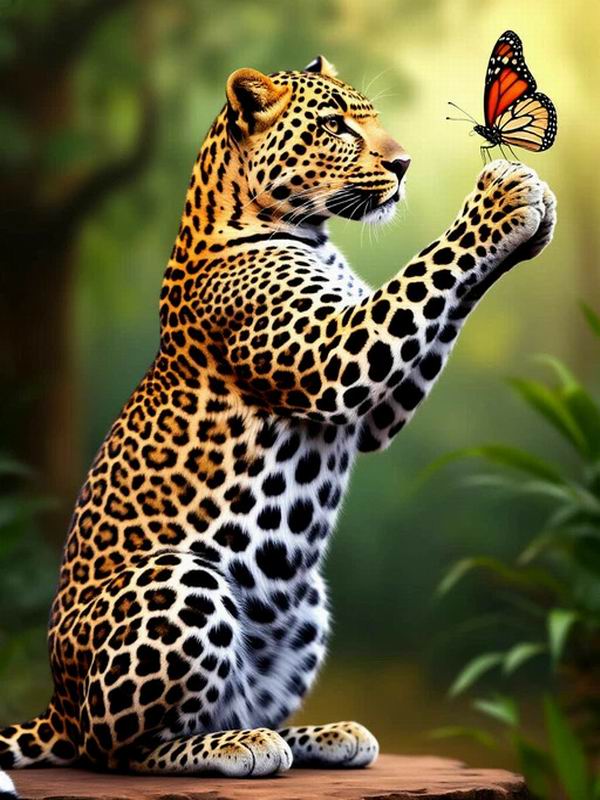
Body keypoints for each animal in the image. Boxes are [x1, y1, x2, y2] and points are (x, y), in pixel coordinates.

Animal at [0, 55, 556, 787]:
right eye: (336, 127)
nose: (404, 163)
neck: (306, 232)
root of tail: (56, 705)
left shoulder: (375, 408)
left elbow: (436, 305)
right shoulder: (336, 358)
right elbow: (424, 275)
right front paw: (500, 205)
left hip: (308, 603)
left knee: (226, 704)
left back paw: (317, 734)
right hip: (181, 581)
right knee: (116, 749)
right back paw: (236, 748)